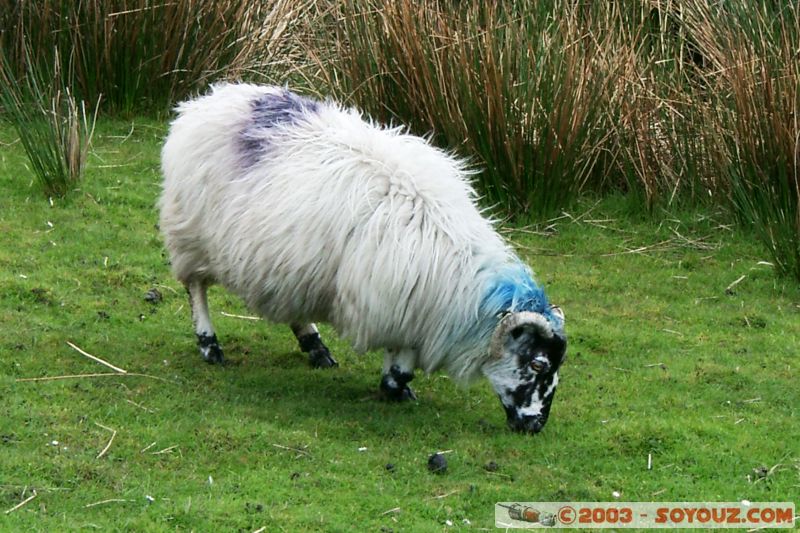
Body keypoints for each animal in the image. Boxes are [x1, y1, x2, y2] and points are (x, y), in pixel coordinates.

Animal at [159, 83, 567, 433]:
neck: (461, 276)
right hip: (191, 233)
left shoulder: (403, 300)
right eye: (537, 363)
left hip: (291, 260)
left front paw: (394, 384)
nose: (535, 426)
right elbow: (403, 356)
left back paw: (315, 347)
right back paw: (210, 344)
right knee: (196, 287)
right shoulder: (393, 299)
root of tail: (207, 101)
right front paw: (395, 386)